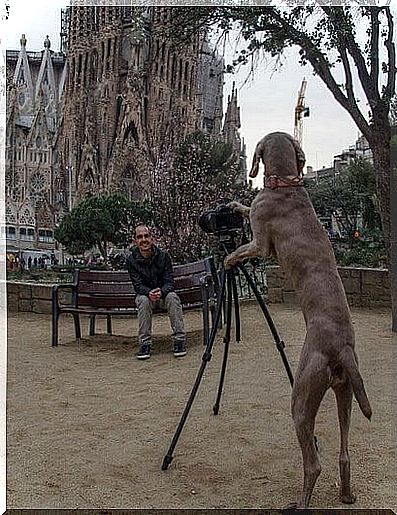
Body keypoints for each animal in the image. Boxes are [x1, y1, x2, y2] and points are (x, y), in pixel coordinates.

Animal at [224, 131, 372, 510]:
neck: (286, 184)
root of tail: (342, 349)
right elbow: (246, 206)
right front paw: (233, 205)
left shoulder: (261, 243)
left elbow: (240, 249)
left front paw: (228, 260)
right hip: (346, 392)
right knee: (344, 453)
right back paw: (346, 495)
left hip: (302, 397)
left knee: (314, 463)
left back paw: (300, 504)